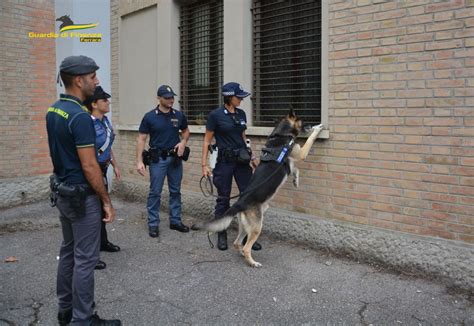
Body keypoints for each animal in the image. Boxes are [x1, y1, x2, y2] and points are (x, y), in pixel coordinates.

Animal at [136, 85, 190, 238]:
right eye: (167, 96)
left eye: (171, 97)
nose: (172, 100)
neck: (164, 111)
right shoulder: (145, 123)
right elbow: (141, 138)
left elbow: (185, 131)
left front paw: (181, 147)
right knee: (154, 195)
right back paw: (153, 227)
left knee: (175, 193)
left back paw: (176, 224)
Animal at [191, 109, 324, 268]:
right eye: (302, 121)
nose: (311, 124)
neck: (282, 134)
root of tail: (239, 203)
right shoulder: (300, 153)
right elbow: (310, 140)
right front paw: (317, 129)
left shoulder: (291, 163)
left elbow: (295, 170)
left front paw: (296, 181)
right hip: (256, 227)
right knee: (246, 246)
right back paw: (252, 262)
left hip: (248, 225)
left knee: (237, 243)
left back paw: (242, 254)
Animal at [202, 83, 262, 251]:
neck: (229, 110)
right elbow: (207, 139)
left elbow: (242, 135)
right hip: (222, 182)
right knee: (222, 203)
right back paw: (222, 240)